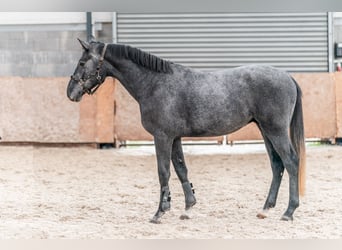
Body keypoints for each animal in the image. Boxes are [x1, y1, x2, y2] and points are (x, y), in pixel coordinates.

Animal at [66, 39, 304, 225]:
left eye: (82, 62)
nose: (70, 93)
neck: (155, 83)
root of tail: (288, 77)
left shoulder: (162, 136)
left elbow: (164, 172)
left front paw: (159, 212)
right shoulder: (175, 138)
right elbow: (181, 169)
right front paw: (188, 208)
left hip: (275, 131)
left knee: (291, 162)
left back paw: (289, 211)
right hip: (266, 130)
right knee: (277, 164)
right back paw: (265, 209)